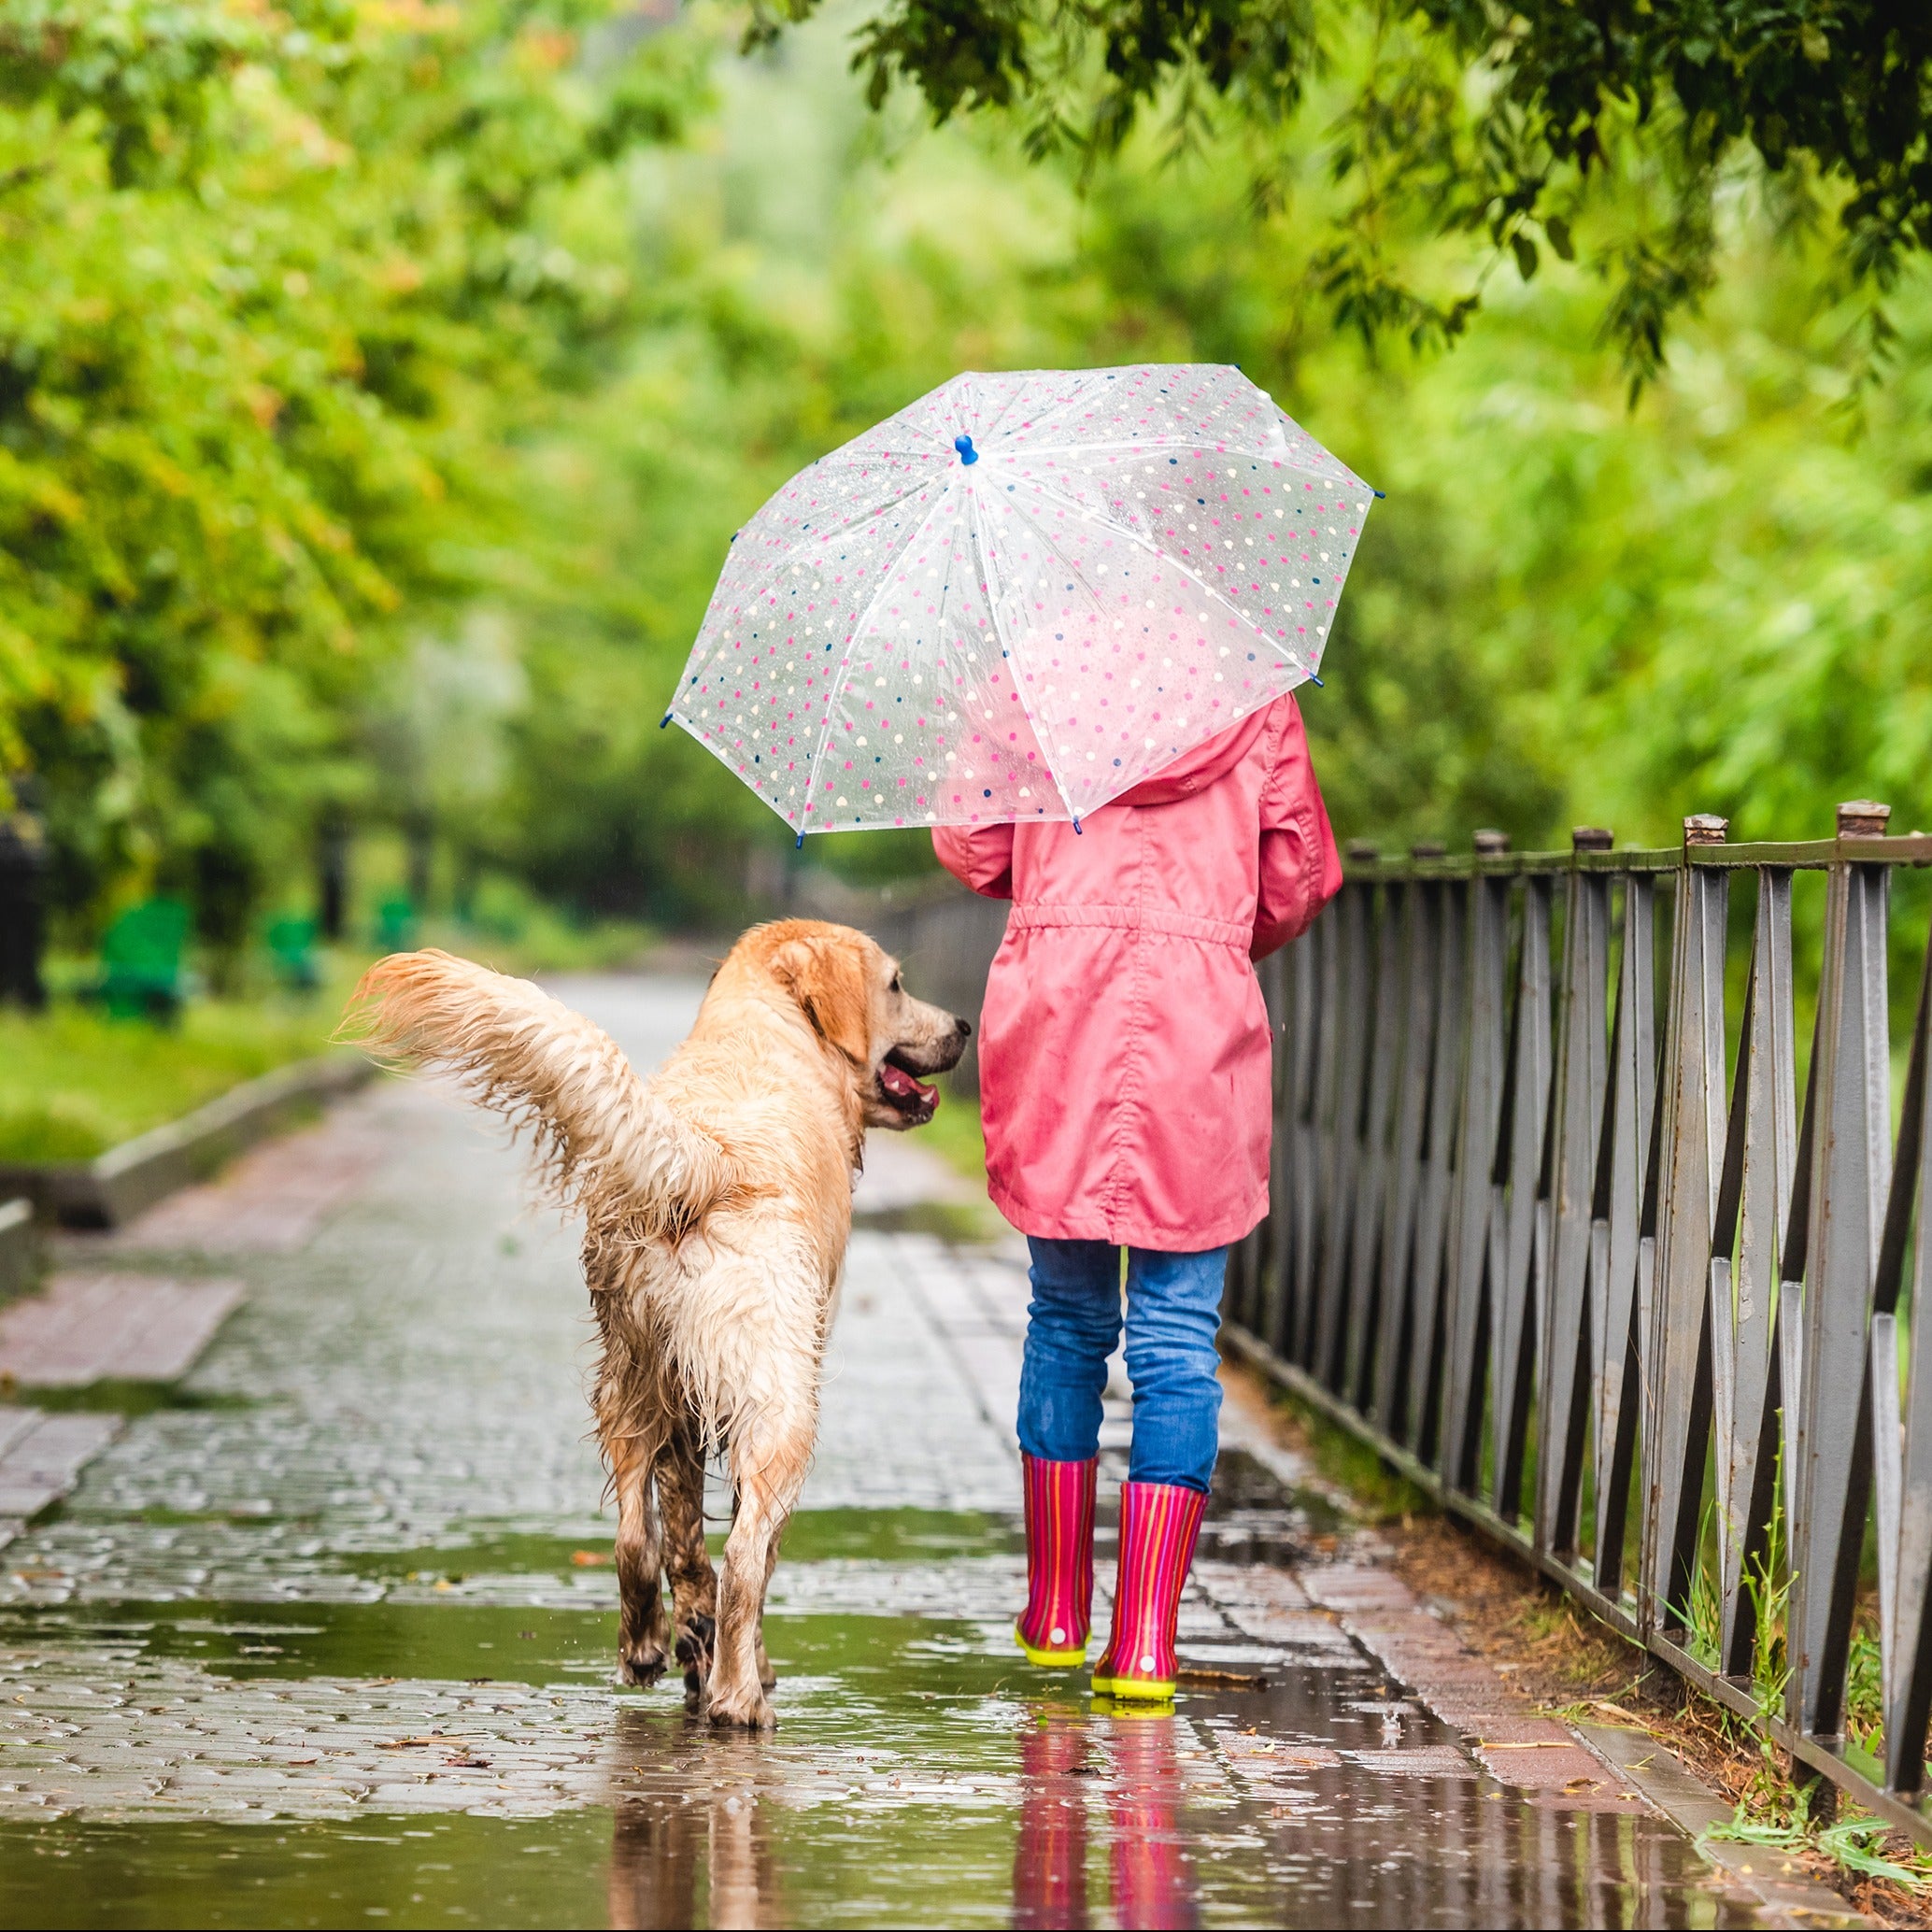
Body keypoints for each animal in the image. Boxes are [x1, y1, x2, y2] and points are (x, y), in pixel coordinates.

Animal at [348, 927, 966, 1730]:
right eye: (896, 985)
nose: (963, 1027)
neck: (765, 1032)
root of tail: (710, 1157)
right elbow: (748, 1555)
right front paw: (747, 1666)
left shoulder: (686, 1403)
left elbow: (679, 1538)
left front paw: (689, 1639)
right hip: (782, 1403)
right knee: (744, 1559)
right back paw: (738, 1700)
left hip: (633, 1374)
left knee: (636, 1540)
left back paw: (649, 1648)